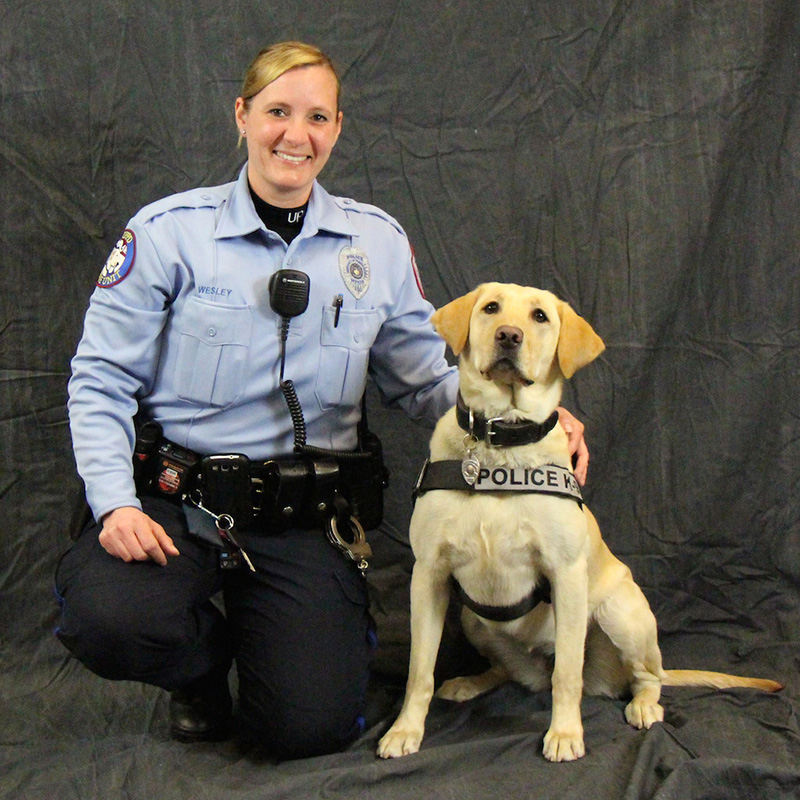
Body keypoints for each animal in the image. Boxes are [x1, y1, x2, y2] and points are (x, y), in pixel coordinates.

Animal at [378, 282, 784, 764]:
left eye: (539, 316)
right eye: (491, 308)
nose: (508, 336)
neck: (500, 440)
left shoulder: (567, 574)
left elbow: (567, 674)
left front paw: (566, 733)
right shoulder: (429, 574)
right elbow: (419, 670)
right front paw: (405, 729)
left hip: (621, 613)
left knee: (644, 677)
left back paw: (644, 706)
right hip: (475, 619)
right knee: (509, 671)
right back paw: (472, 682)